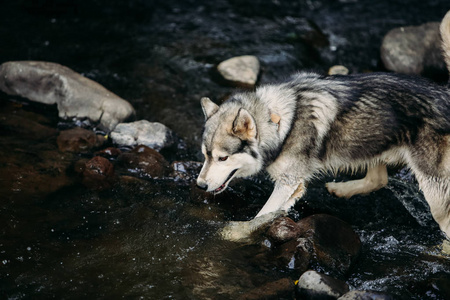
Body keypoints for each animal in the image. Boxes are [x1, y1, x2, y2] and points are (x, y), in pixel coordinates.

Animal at [199, 11, 450, 241]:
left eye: (223, 158)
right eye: (205, 155)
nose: (200, 185)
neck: (280, 122)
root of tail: (444, 92)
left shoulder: (287, 183)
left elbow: (261, 215)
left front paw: (234, 233)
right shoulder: (294, 185)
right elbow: (271, 213)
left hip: (432, 190)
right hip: (370, 145)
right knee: (378, 180)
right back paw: (341, 189)